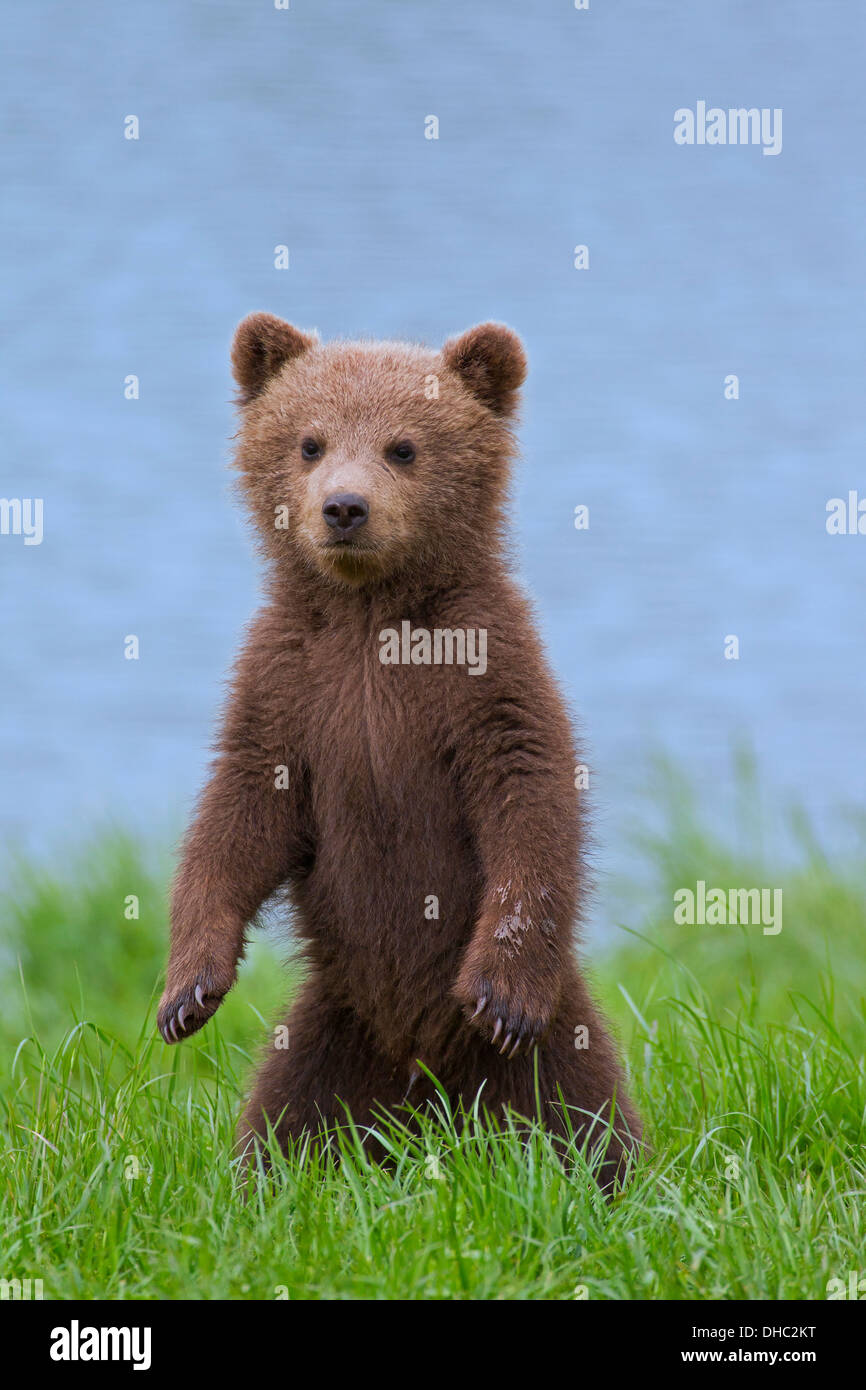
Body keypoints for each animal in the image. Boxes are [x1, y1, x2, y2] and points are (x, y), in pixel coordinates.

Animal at [157, 312, 644, 1184]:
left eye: (404, 447)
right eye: (309, 441)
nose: (344, 508)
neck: (369, 616)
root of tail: (421, 1089)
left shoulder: (483, 675)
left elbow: (529, 797)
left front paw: (500, 995)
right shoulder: (289, 685)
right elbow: (239, 815)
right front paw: (188, 991)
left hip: (551, 1043)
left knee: (580, 1110)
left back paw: (602, 1173)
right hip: (327, 1031)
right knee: (283, 1115)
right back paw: (266, 1178)